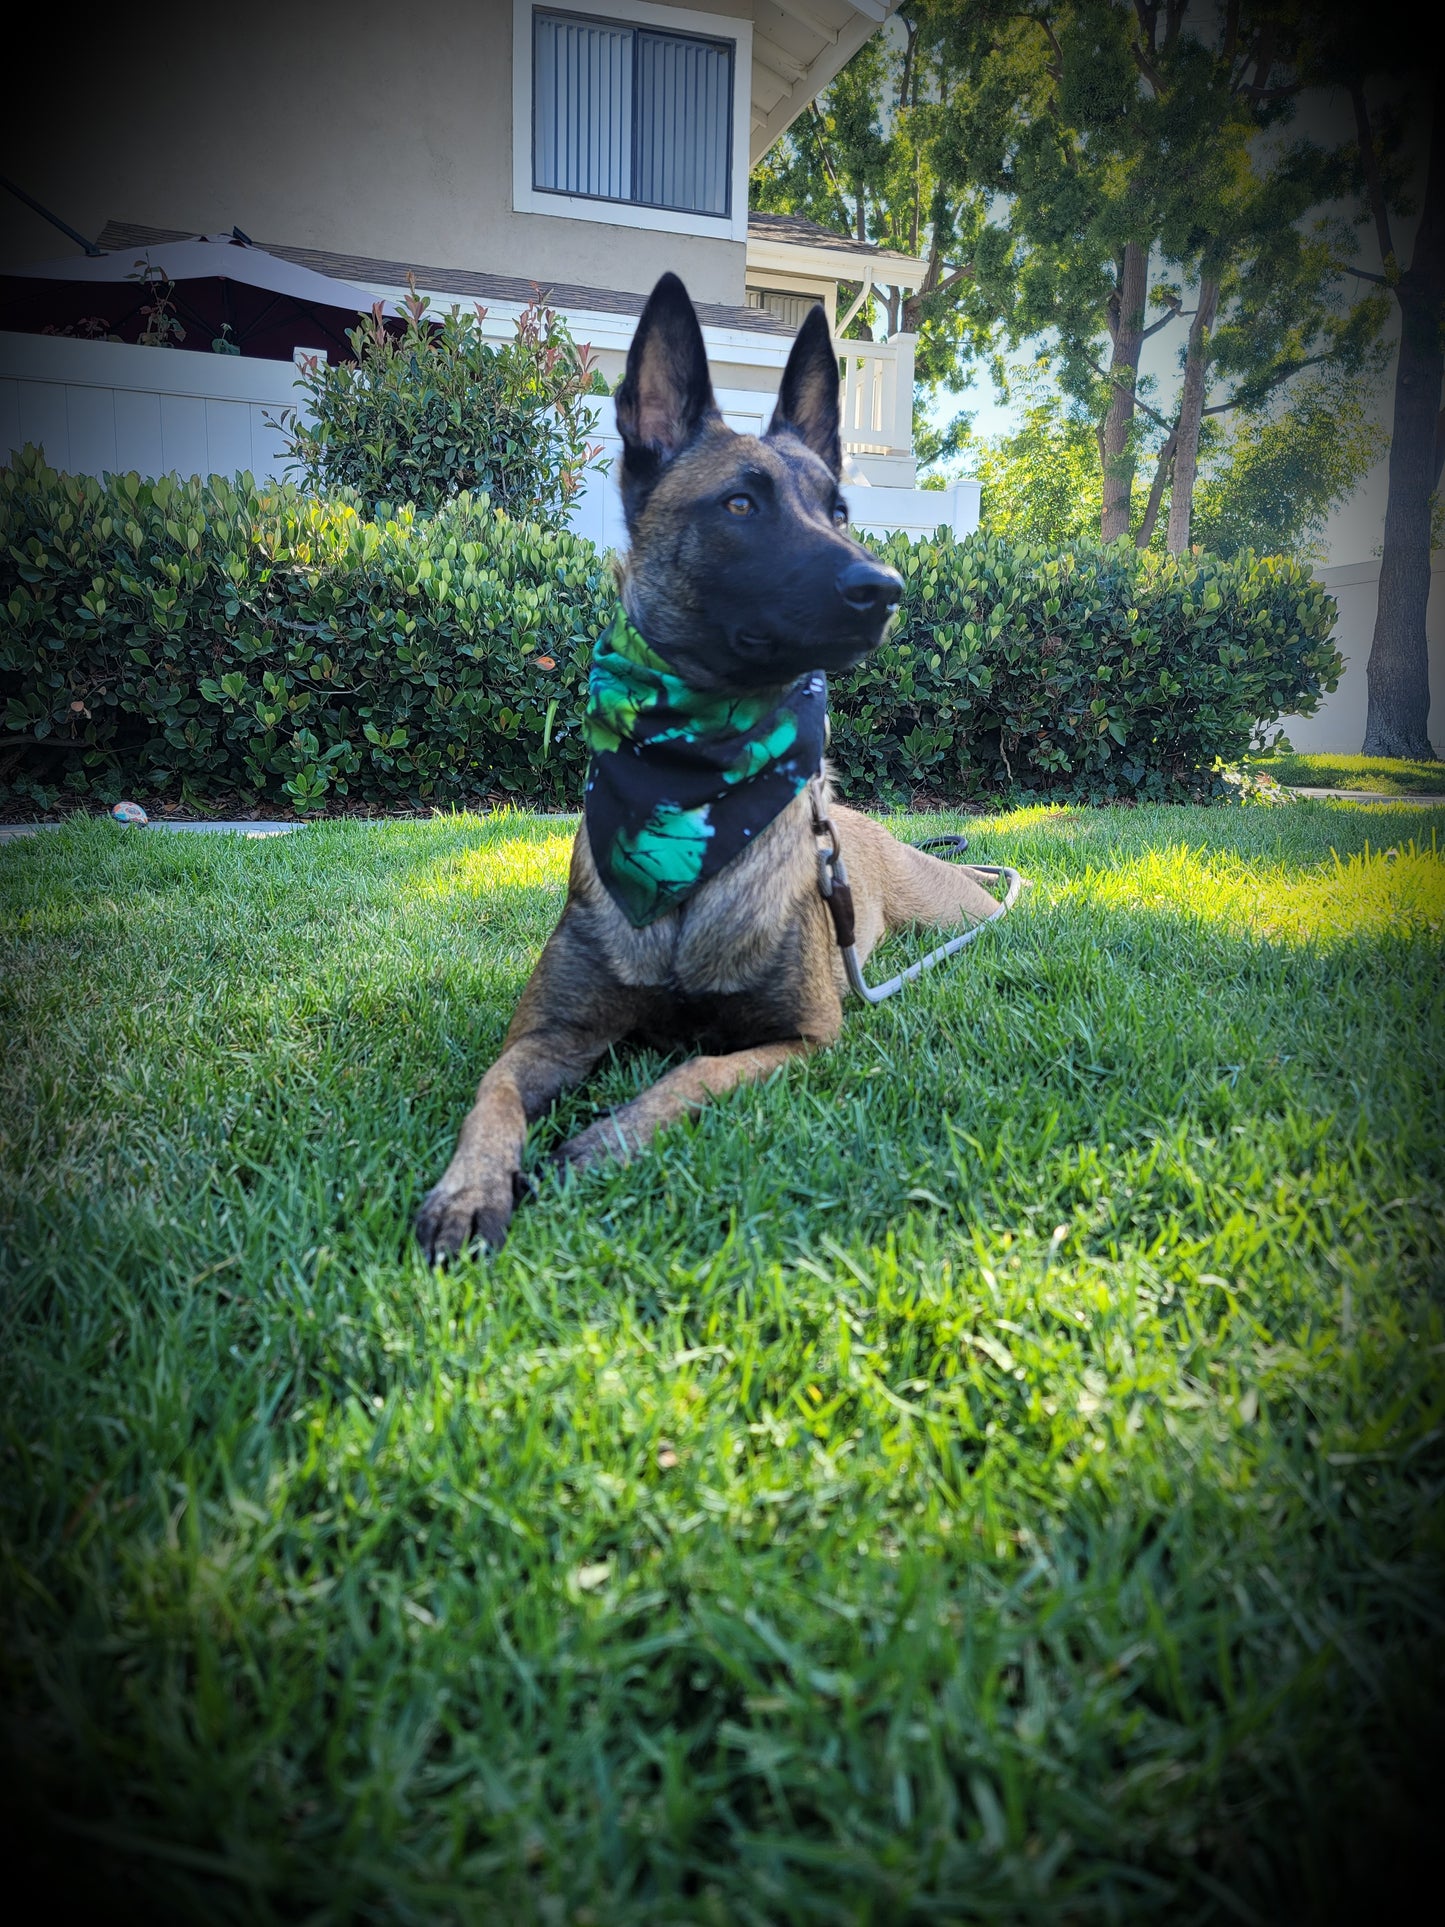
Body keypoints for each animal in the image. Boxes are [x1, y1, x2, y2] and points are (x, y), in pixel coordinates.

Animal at [416, 275, 1009, 1264]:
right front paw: (470, 1187)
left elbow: (687, 1073)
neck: (694, 783)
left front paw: (598, 1141)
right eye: (740, 504)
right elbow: (490, 1098)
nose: (884, 588)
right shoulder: (549, 1032)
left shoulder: (804, 1039)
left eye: (838, 511)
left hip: (960, 914)